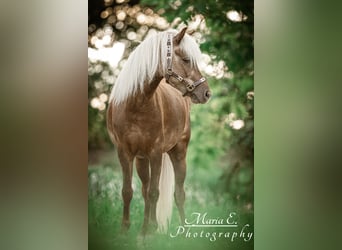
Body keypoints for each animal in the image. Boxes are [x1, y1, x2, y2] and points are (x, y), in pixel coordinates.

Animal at [107, 27, 210, 234]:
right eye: (186, 59)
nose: (206, 93)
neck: (135, 105)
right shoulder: (124, 153)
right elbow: (127, 191)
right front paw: (126, 229)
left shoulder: (155, 153)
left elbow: (155, 193)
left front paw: (152, 232)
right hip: (141, 159)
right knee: (144, 190)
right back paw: (143, 229)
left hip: (179, 153)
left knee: (179, 193)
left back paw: (183, 230)